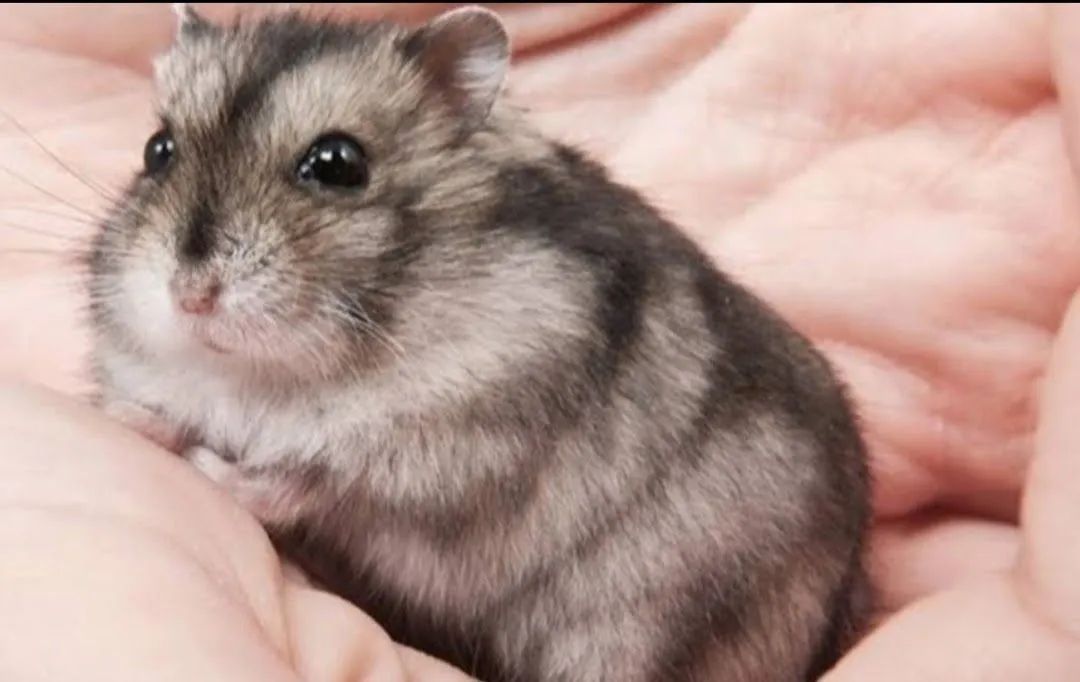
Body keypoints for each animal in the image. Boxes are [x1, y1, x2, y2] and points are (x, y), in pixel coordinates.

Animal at [86, 4, 872, 681]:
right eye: (157, 150)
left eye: (338, 163)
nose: (190, 296)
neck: (270, 374)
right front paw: (129, 418)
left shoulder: (453, 449)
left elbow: (303, 481)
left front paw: (206, 464)